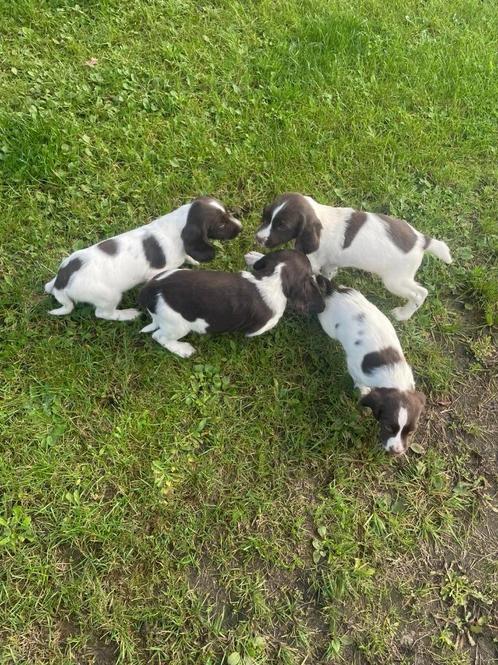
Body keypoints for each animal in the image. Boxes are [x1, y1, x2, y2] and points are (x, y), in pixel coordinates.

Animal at [43, 197, 242, 320]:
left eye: (228, 213)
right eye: (221, 225)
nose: (241, 227)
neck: (178, 225)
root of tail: (62, 281)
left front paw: (192, 260)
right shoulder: (154, 274)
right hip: (110, 296)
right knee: (103, 314)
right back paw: (127, 314)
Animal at [255, 193, 454, 320]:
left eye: (282, 226)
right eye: (265, 216)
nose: (257, 238)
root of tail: (421, 240)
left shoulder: (313, 261)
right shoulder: (330, 262)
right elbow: (328, 273)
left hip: (395, 280)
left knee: (420, 293)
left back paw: (403, 314)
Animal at [318, 272, 426, 454]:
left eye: (411, 431)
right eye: (388, 427)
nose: (396, 452)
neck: (395, 378)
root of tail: (336, 291)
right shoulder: (354, 367)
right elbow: (360, 384)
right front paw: (362, 391)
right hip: (329, 325)